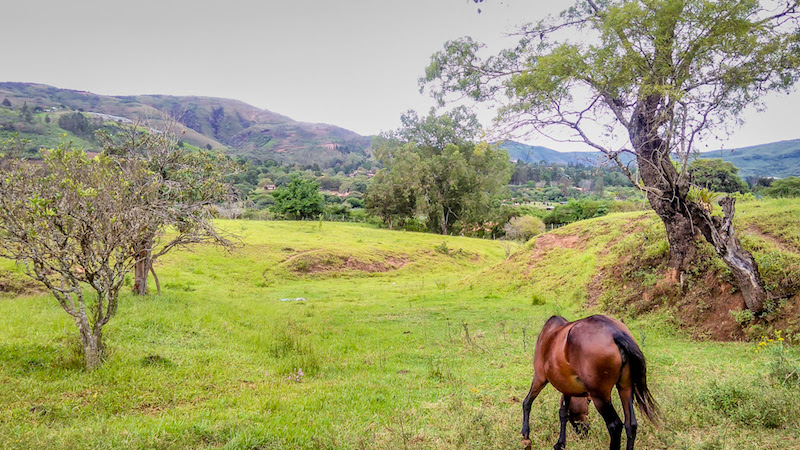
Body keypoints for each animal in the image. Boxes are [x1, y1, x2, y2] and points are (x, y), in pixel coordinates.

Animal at [520, 314, 660, 448]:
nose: (584, 432)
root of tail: (616, 332)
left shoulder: (539, 377)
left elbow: (527, 403)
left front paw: (525, 433)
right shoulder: (567, 387)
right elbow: (563, 413)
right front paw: (561, 443)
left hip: (600, 396)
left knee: (615, 425)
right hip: (625, 388)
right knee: (631, 424)